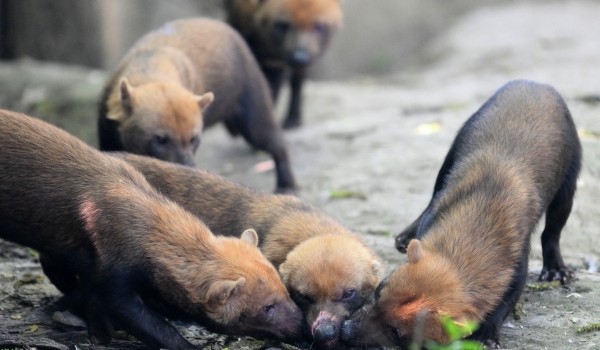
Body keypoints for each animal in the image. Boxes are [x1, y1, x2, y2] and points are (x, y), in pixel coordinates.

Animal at [0, 110, 300, 350]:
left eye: (284, 289)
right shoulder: (114, 280)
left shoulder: (89, 268)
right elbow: (153, 327)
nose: (302, 327)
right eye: (267, 307)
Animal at [99, 17, 298, 194]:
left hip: (252, 101)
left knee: (271, 137)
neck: (152, 63)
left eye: (193, 138)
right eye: (160, 138)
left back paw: (287, 184)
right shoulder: (107, 131)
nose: (187, 168)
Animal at [342, 80, 580, 348]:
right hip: (449, 157)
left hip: (568, 186)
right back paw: (404, 237)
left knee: (552, 232)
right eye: (379, 290)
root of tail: (535, 82)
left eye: (397, 332)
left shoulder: (519, 264)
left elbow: (505, 302)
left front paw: (486, 336)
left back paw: (557, 270)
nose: (346, 331)